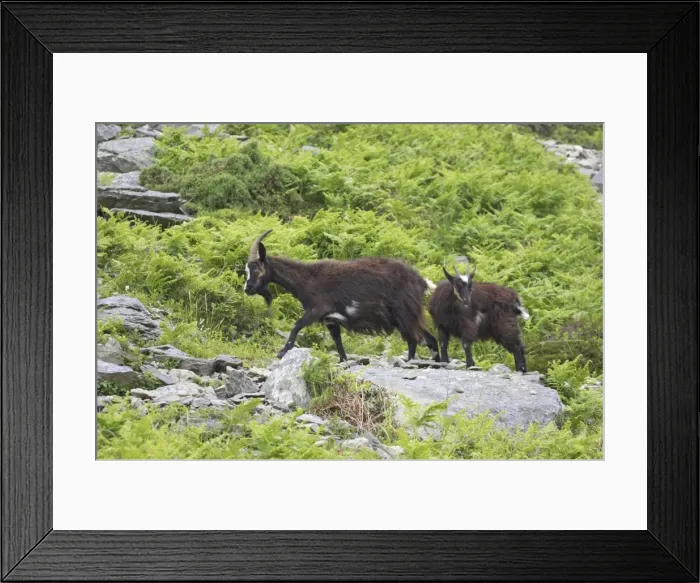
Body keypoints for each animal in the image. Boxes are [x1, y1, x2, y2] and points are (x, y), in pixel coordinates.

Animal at [243, 230, 440, 362]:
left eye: (255, 268)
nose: (247, 289)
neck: (307, 279)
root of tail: (422, 282)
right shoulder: (331, 319)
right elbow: (338, 341)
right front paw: (344, 360)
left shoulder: (317, 310)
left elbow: (296, 326)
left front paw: (282, 352)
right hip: (404, 317)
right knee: (426, 339)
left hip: (404, 314)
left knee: (415, 339)